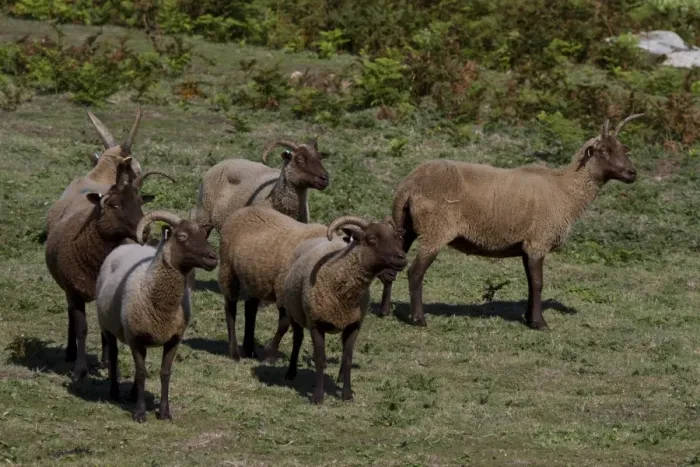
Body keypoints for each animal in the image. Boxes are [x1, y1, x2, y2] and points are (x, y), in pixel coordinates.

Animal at [44, 160, 172, 381]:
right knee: (70, 314)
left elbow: (107, 331)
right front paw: (79, 370)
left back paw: (104, 360)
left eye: (140, 203)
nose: (145, 231)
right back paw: (70, 352)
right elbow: (82, 329)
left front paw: (111, 367)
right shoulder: (74, 291)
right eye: (115, 204)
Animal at [95, 210, 218, 422]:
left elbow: (165, 373)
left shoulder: (174, 339)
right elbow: (141, 373)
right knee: (114, 355)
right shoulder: (134, 338)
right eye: (182, 236)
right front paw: (140, 413)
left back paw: (134, 394)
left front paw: (164, 412)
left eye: (204, 235)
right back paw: (115, 393)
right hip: (108, 327)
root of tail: (126, 246)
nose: (213, 257)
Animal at [217, 205, 355, 361]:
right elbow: (284, 324)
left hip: (254, 279)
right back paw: (234, 353)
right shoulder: (284, 293)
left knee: (250, 310)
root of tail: (244, 210)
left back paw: (249, 350)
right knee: (230, 309)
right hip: (227, 271)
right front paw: (269, 353)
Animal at [281, 215, 408, 404]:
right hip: (294, 313)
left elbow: (347, 359)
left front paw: (346, 394)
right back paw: (290, 373)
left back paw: (340, 377)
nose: (402, 258)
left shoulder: (353, 325)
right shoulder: (316, 324)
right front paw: (317, 397)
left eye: (395, 237)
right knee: (297, 340)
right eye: (372, 239)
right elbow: (320, 359)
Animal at [378, 114, 644, 329]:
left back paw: (384, 311)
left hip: (404, 226)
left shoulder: (526, 245)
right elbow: (538, 283)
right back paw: (418, 319)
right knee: (415, 272)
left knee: (390, 269)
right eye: (604, 151)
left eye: (624, 149)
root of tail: (409, 185)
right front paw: (540, 323)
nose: (632, 174)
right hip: (435, 230)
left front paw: (529, 318)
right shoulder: (538, 241)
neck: (565, 191)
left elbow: (530, 283)